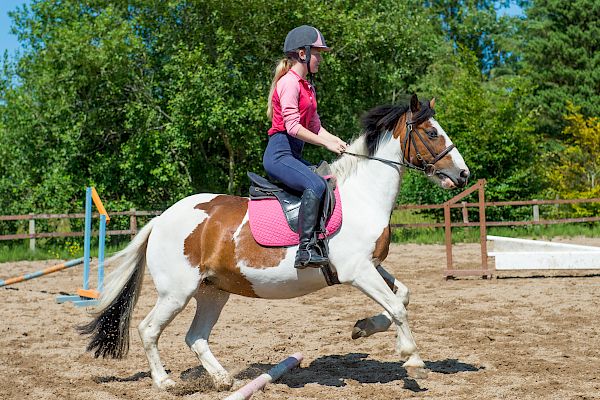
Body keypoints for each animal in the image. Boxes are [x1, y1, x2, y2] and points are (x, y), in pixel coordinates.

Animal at [79, 94, 472, 390]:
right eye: (432, 133)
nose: (464, 174)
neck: (363, 196)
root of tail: (160, 220)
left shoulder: (371, 266)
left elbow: (402, 296)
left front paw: (363, 328)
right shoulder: (359, 271)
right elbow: (398, 307)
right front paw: (412, 356)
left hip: (213, 291)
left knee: (196, 337)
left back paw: (224, 380)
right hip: (176, 292)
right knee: (149, 329)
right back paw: (165, 382)